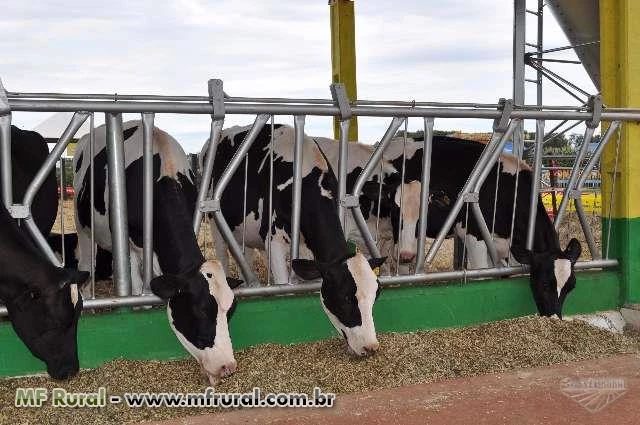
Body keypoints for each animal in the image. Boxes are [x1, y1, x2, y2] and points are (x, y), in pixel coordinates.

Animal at [73, 121, 242, 382]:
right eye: (199, 312)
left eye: (230, 311)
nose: (227, 366)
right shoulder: (130, 244)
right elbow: (135, 282)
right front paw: (140, 306)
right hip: (82, 225)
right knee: (86, 261)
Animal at [205, 124, 384, 356]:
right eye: (344, 298)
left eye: (375, 296)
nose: (370, 347)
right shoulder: (274, 240)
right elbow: (283, 284)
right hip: (215, 222)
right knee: (223, 257)